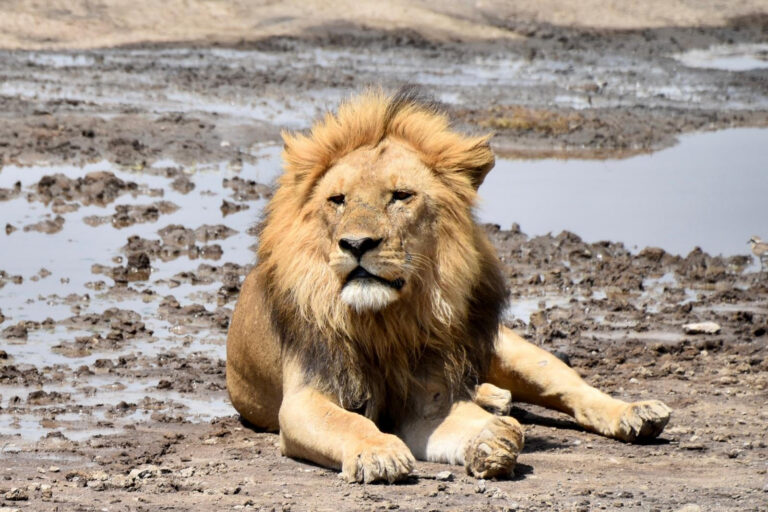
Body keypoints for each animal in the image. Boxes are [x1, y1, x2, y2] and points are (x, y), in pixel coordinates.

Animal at [226, 88, 671, 483]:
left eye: (401, 196)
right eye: (337, 200)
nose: (356, 244)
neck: (386, 321)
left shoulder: (429, 400)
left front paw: (491, 438)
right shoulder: (304, 399)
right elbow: (348, 422)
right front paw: (378, 452)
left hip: (513, 351)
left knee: (573, 387)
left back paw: (633, 413)